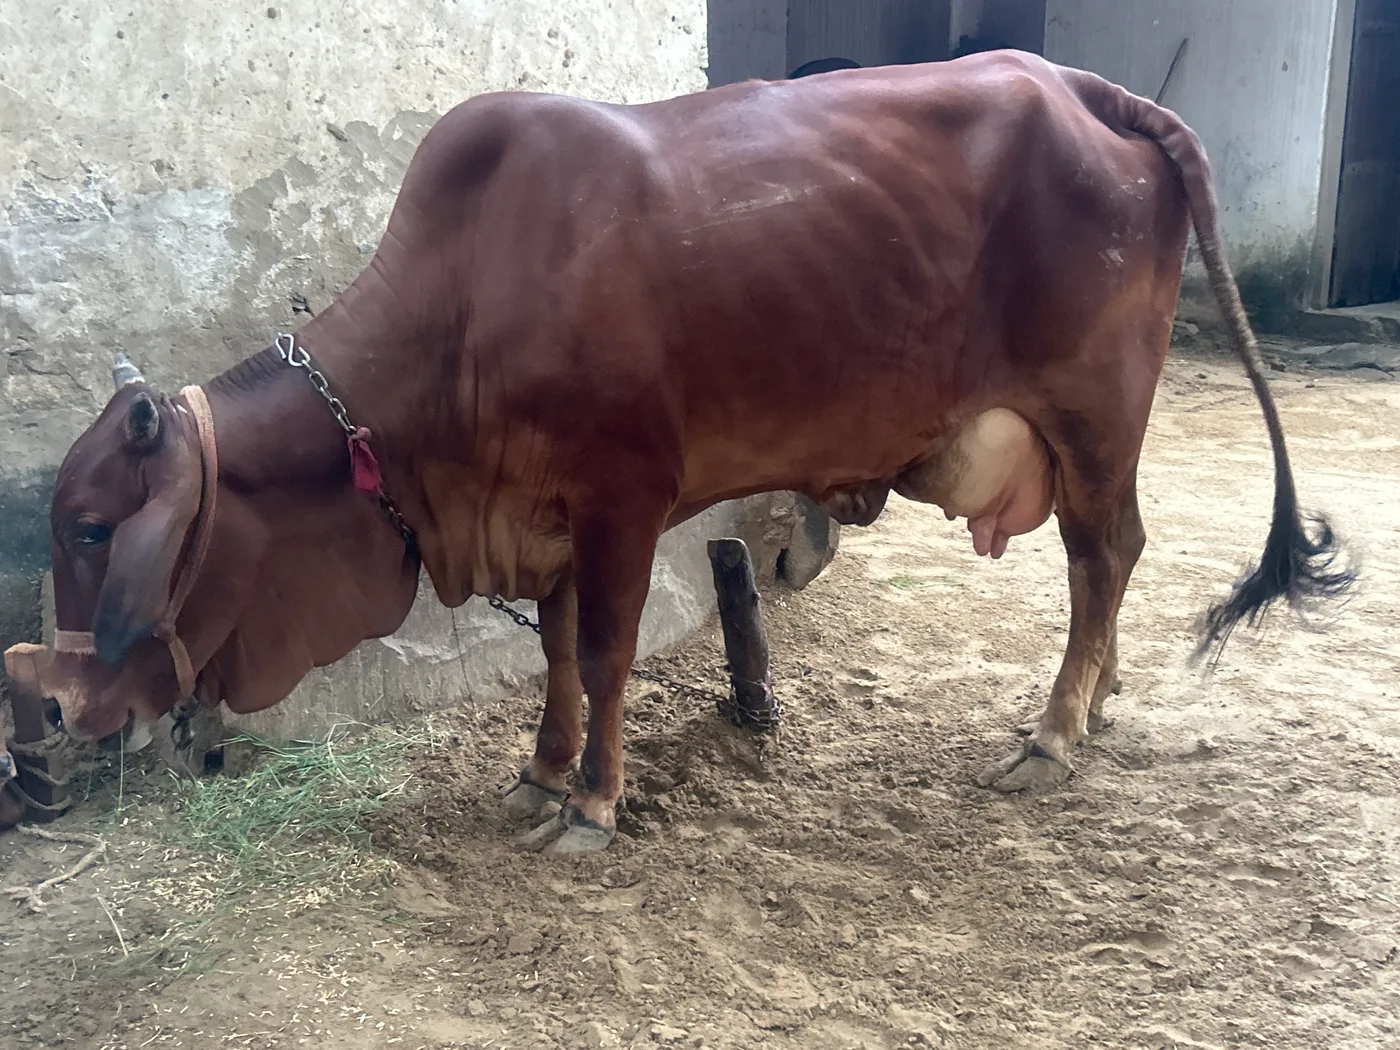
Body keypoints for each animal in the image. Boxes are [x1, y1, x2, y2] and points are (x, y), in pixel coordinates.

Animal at [40, 51, 1353, 857]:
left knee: (1104, 550)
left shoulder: (624, 497)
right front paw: (540, 772)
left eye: (98, 526)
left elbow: (605, 653)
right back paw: (1099, 695)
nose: (53, 707)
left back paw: (1055, 728)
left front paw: (592, 801)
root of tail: (1085, 86)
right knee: (1105, 560)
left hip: (1090, 412)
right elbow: (556, 654)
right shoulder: (549, 518)